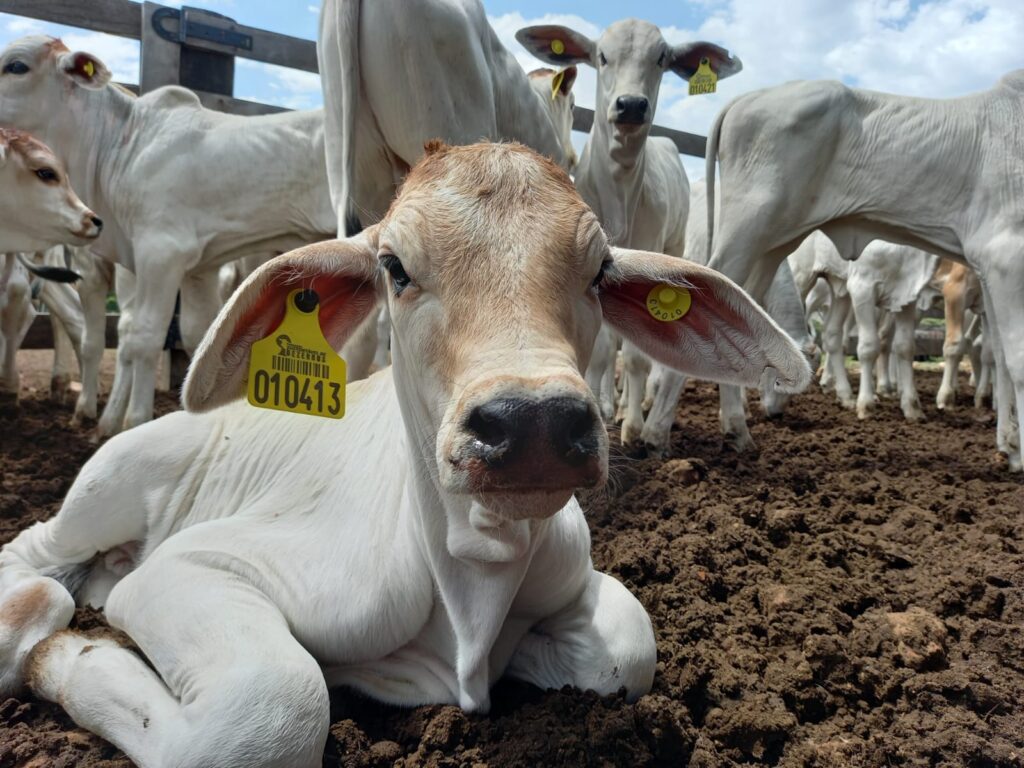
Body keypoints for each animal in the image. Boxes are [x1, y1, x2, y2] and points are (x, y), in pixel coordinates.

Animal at [0, 37, 337, 438]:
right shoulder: (199, 268)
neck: (120, 146)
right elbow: (199, 335)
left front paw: (132, 423)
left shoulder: (160, 252)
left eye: (16, 66)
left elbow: (144, 337)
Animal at [0, 141, 806, 765]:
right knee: (37, 560)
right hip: (113, 479)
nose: (534, 424)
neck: (472, 574)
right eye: (394, 267)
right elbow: (275, 706)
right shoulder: (197, 566)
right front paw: (68, 653)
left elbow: (629, 646)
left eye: (601, 272)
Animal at [708, 72, 1024, 473]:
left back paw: (737, 426)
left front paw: (1012, 447)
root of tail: (746, 97)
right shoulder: (1006, 255)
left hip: (772, 244)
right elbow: (1015, 358)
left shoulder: (983, 274)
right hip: (752, 231)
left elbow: (995, 355)